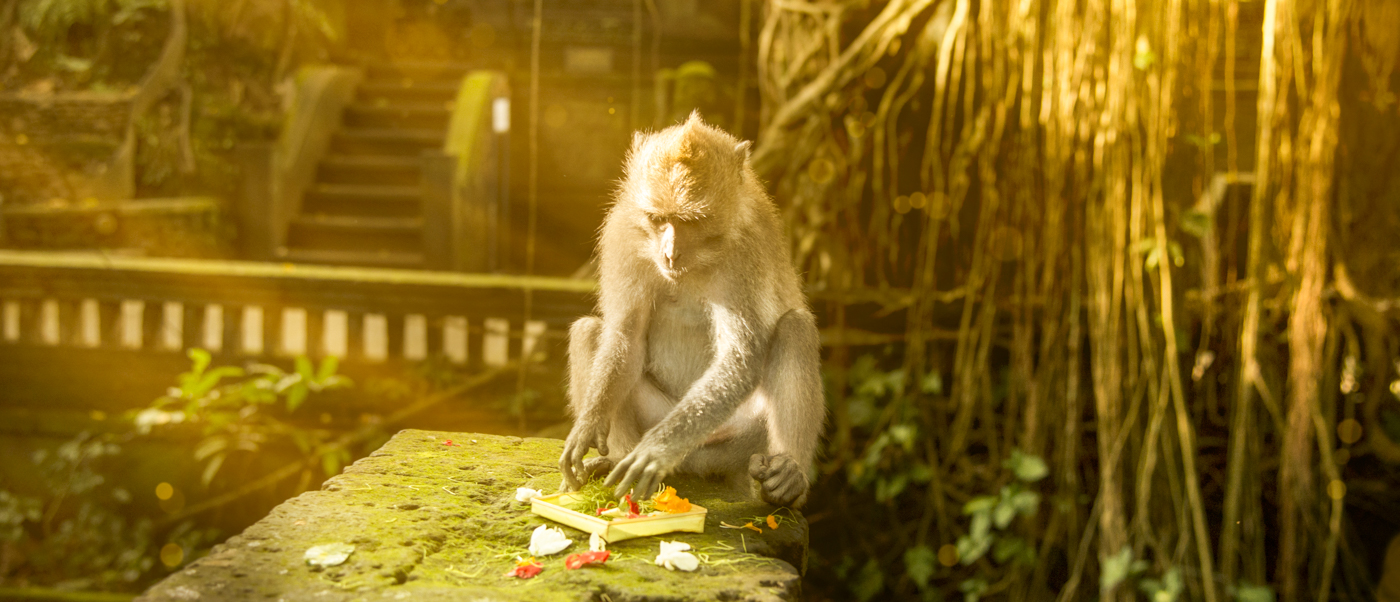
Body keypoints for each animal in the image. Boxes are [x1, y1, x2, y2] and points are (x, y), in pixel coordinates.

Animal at [558, 112, 825, 508]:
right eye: (657, 219)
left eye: (692, 222)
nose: (670, 255)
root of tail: (695, 463)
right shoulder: (624, 234)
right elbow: (626, 336)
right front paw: (588, 426)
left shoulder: (746, 250)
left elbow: (741, 356)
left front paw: (658, 449)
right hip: (658, 414)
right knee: (589, 331)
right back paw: (615, 459)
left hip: (738, 440)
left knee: (795, 328)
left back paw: (788, 477)